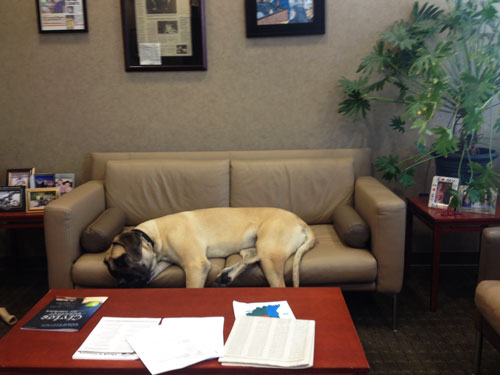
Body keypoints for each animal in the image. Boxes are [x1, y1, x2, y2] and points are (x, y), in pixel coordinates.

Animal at [104, 207, 316, 290]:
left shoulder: (195, 266)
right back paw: (226, 275)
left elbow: (191, 286)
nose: (120, 285)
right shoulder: (158, 264)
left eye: (122, 260)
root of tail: (301, 222)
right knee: (251, 256)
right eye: (113, 272)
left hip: (270, 254)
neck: (156, 235)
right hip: (251, 247)